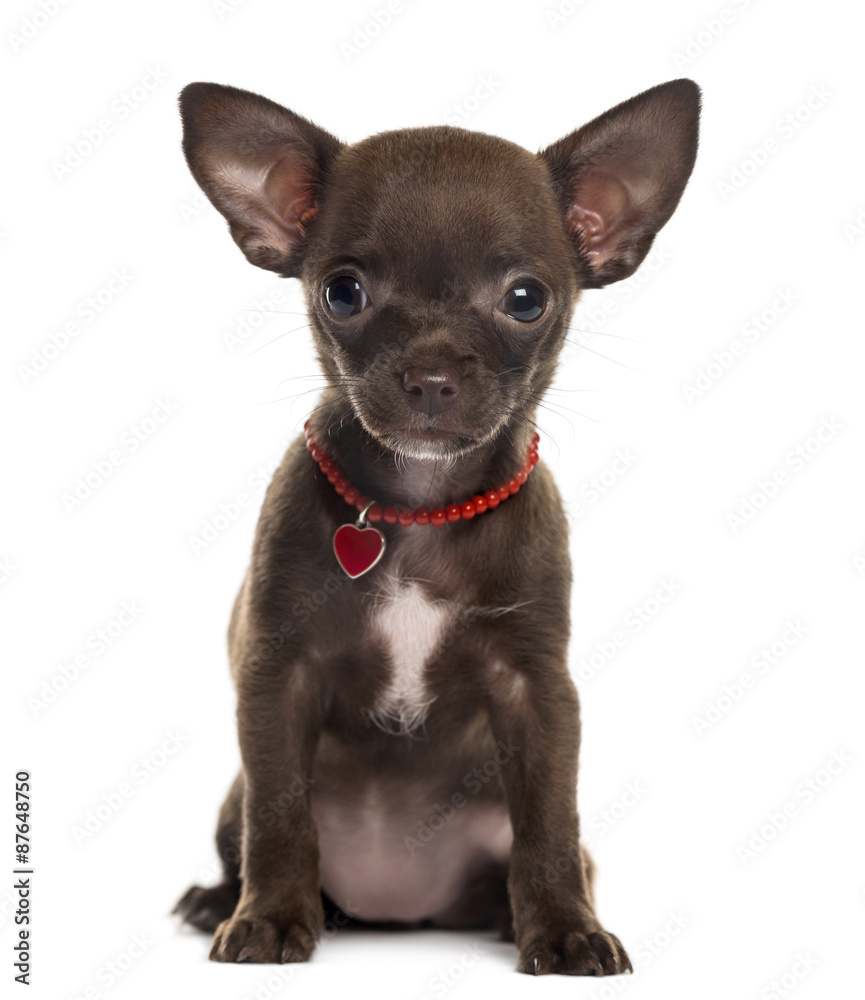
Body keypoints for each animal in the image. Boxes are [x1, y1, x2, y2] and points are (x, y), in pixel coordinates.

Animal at [172, 80, 700, 976]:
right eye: (342, 292)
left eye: (525, 299)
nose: (430, 375)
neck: (419, 507)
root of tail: (400, 911)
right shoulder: (277, 679)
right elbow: (279, 816)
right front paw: (269, 918)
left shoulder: (536, 694)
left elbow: (547, 827)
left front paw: (564, 932)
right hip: (230, 799)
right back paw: (225, 899)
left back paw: (508, 917)